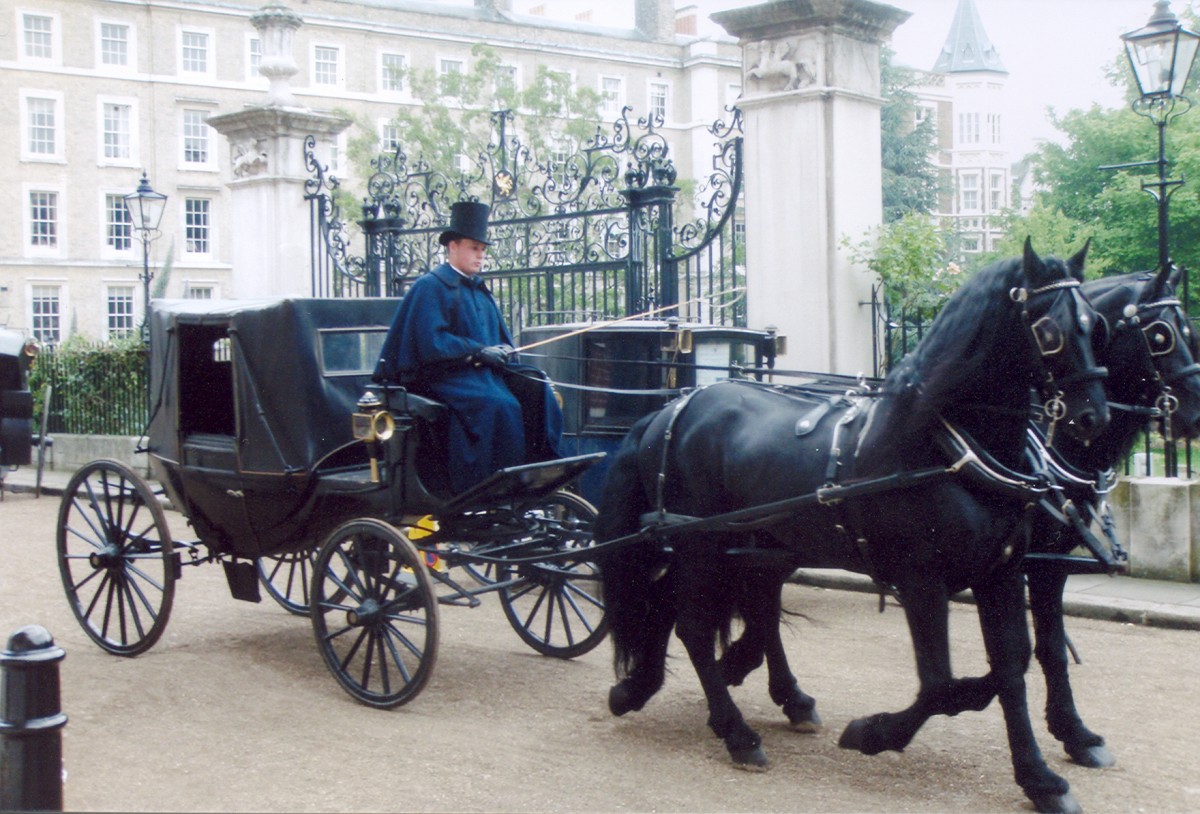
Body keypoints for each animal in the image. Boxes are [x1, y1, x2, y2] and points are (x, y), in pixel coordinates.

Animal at [595, 242, 1108, 814]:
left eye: (1096, 324)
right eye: (1050, 330)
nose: (1093, 417)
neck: (943, 446)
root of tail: (672, 409)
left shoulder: (1000, 573)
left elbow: (1012, 668)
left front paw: (1039, 777)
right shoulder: (921, 580)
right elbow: (943, 685)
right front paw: (874, 732)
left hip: (742, 547)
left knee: (692, 611)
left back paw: (649, 688)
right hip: (700, 545)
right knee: (693, 627)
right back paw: (736, 731)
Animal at [1022, 266, 1200, 773]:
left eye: (1189, 331)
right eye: (1159, 335)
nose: (1197, 414)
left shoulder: (1052, 560)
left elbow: (1051, 647)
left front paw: (1074, 732)